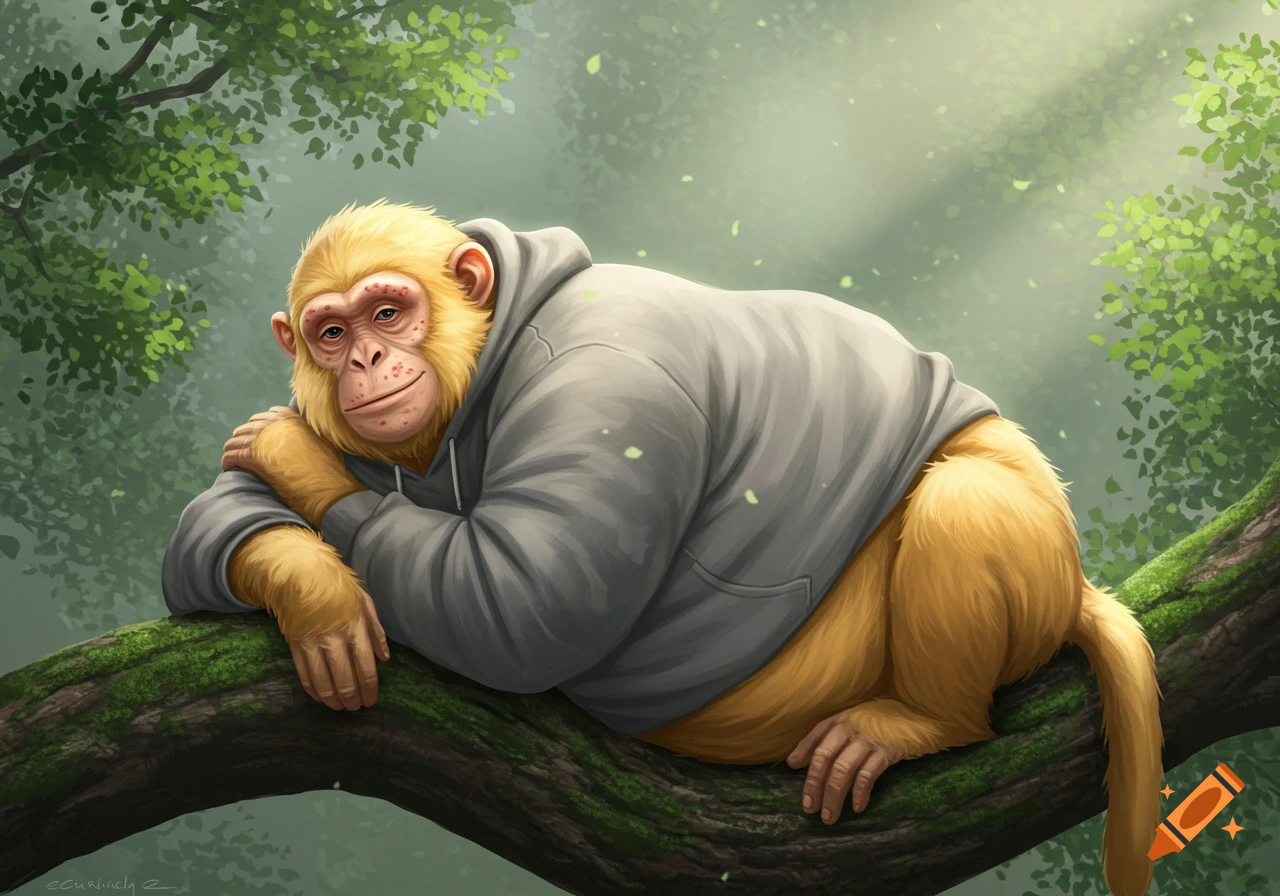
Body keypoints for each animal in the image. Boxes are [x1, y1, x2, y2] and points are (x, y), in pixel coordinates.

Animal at [162, 200, 1163, 896]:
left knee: (964, 501)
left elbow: (522, 607)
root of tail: (1075, 581)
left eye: (386, 312)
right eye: (331, 332)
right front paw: (312, 588)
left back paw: (926, 719)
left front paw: (291, 460)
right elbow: (213, 521)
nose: (365, 362)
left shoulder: (609, 382)